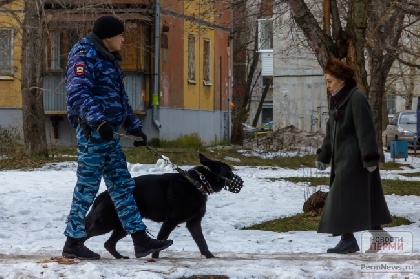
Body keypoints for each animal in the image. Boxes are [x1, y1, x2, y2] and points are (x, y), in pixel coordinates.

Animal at [83, 153, 243, 260]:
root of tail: (104, 194)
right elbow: (162, 238)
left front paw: (209, 256)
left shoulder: (193, 223)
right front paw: (154, 257)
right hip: (106, 223)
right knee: (88, 234)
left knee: (108, 244)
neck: (198, 183)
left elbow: (202, 242)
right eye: (229, 172)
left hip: (123, 225)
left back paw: (120, 257)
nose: (240, 181)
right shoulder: (170, 222)